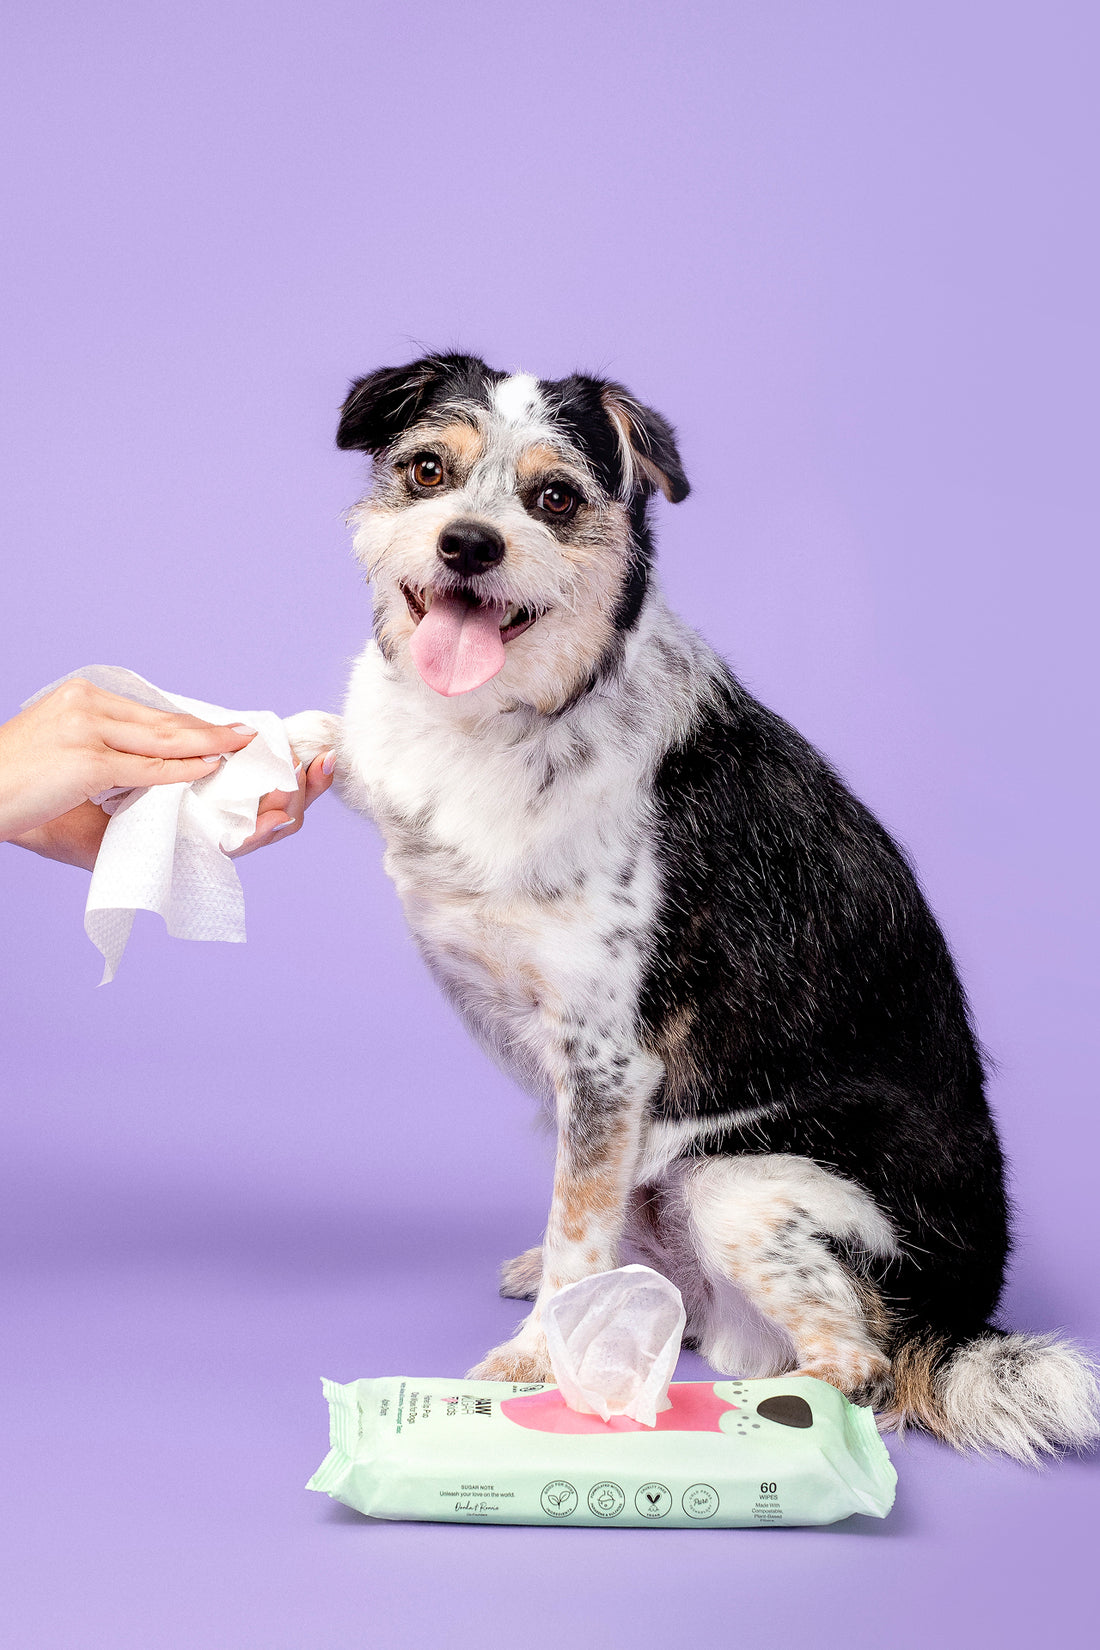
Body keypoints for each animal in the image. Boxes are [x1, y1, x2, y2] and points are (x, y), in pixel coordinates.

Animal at [286, 354, 1100, 1465]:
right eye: (426, 471)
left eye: (555, 499)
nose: (468, 542)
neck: (509, 720)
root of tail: (962, 1320)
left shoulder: (606, 1065)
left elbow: (576, 1231)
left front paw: (532, 1362)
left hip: (737, 1186)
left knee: (858, 1364)